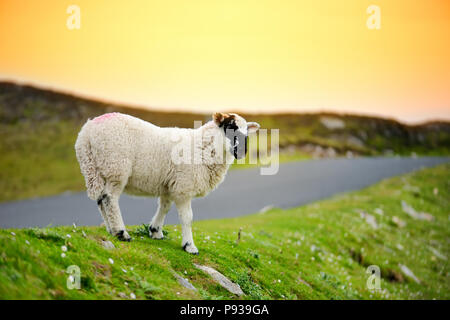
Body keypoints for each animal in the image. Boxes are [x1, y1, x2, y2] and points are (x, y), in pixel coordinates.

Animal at [73, 111, 256, 254]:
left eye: (247, 132)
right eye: (230, 127)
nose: (242, 152)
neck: (203, 146)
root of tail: (87, 131)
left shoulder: (169, 184)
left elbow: (165, 207)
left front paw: (155, 231)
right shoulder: (184, 187)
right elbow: (187, 218)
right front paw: (189, 246)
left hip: (95, 169)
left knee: (101, 199)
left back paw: (111, 229)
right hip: (115, 167)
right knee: (110, 198)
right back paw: (121, 232)